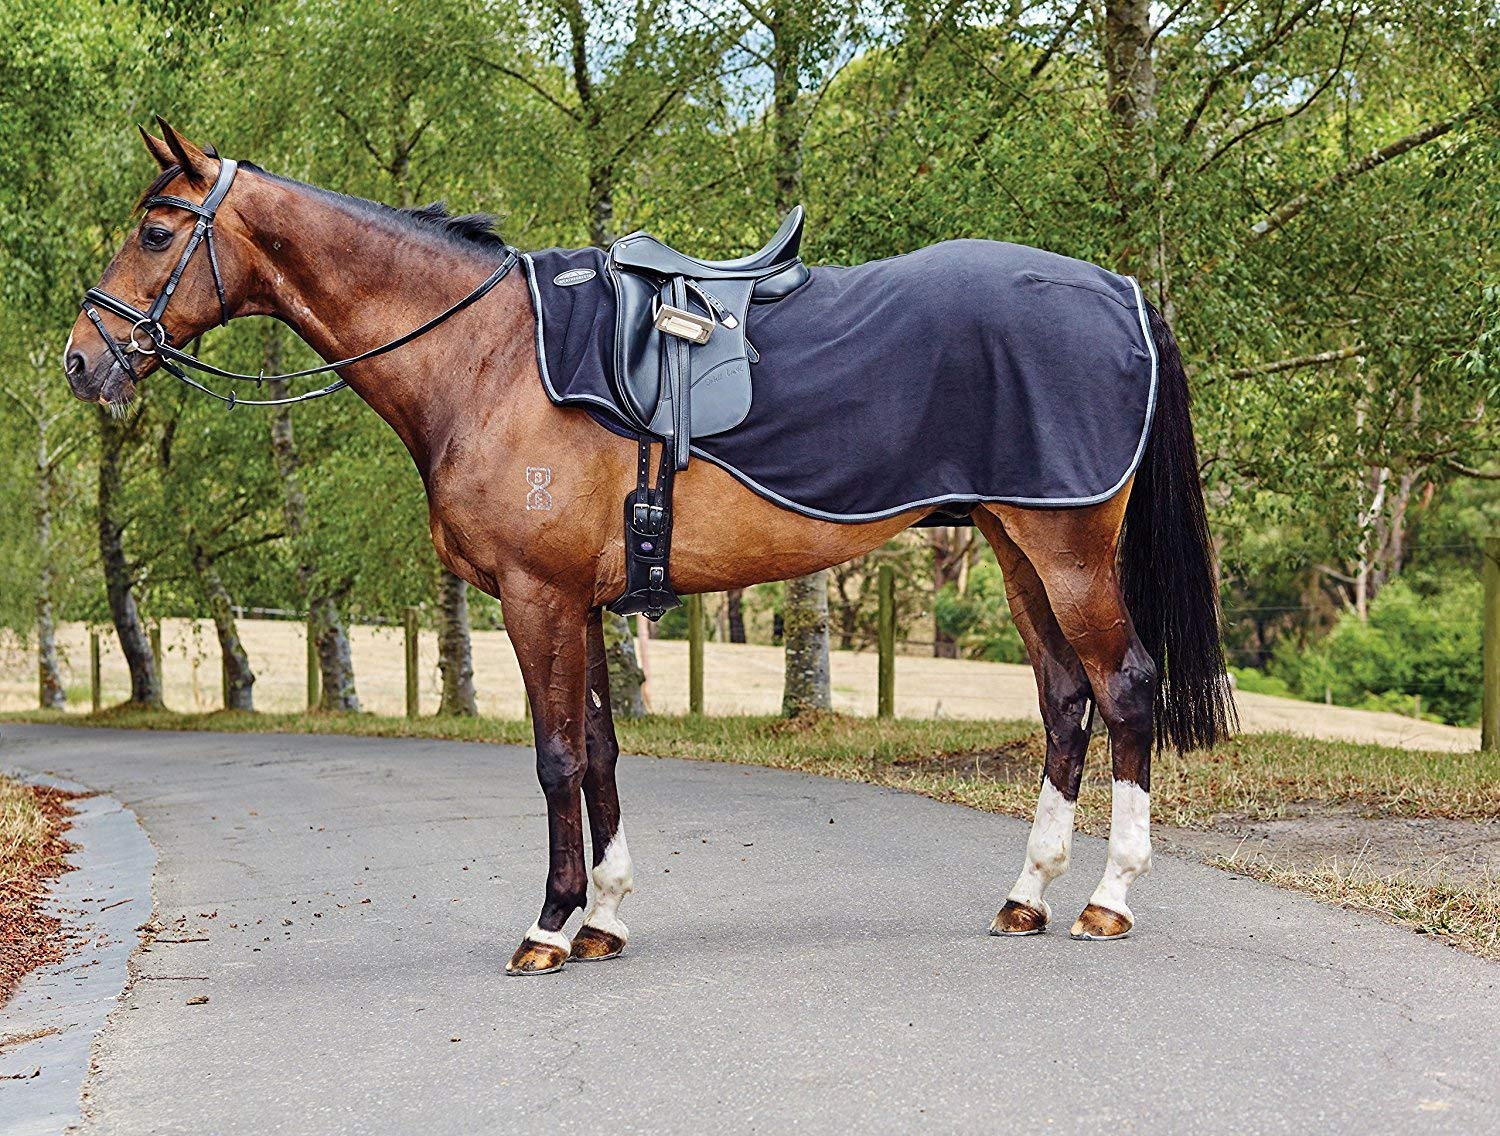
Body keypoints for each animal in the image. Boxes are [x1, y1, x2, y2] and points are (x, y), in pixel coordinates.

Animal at [65, 120, 1234, 975]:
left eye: (159, 232)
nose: (83, 359)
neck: (487, 356)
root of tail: (1122, 293)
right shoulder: (577, 600)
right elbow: (600, 750)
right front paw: (606, 919)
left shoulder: (534, 596)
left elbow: (553, 758)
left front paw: (548, 925)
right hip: (1013, 539)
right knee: (1065, 700)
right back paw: (1027, 895)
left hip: (1066, 545)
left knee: (1124, 687)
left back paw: (1108, 898)